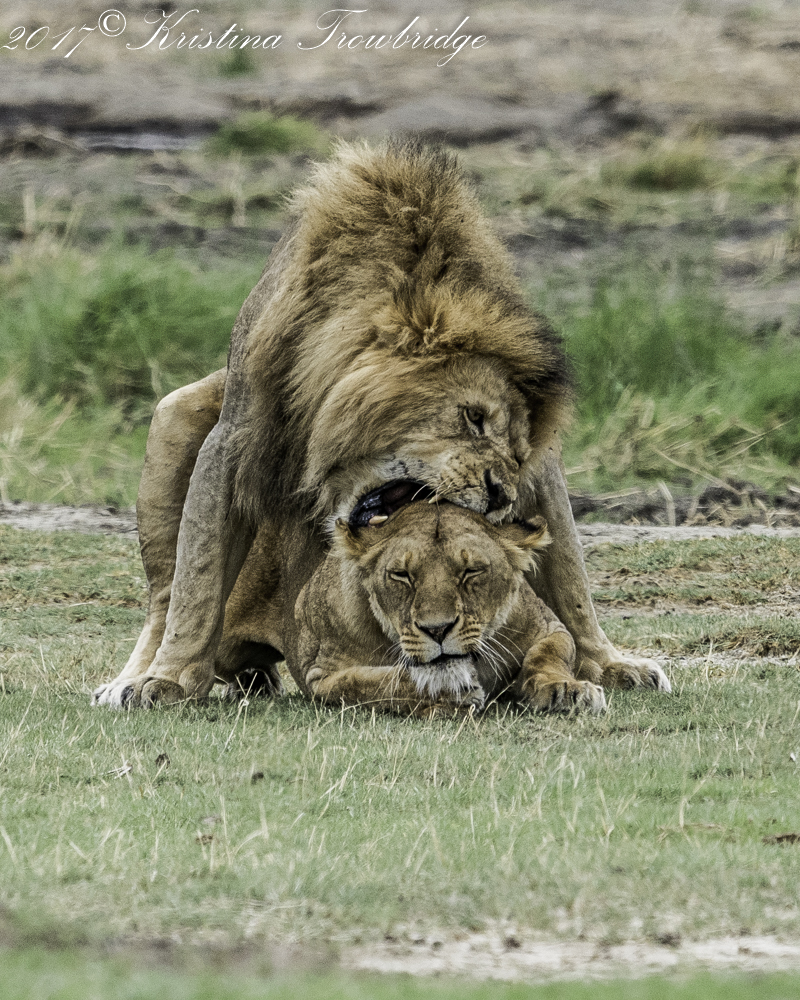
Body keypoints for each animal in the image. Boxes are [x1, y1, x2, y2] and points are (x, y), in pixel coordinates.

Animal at [92, 139, 669, 709]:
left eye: (517, 448)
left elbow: (569, 572)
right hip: (175, 415)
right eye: (473, 417)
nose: (502, 495)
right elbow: (197, 582)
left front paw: (608, 663)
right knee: (163, 594)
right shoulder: (232, 440)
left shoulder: (542, 479)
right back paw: (133, 677)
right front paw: (169, 678)